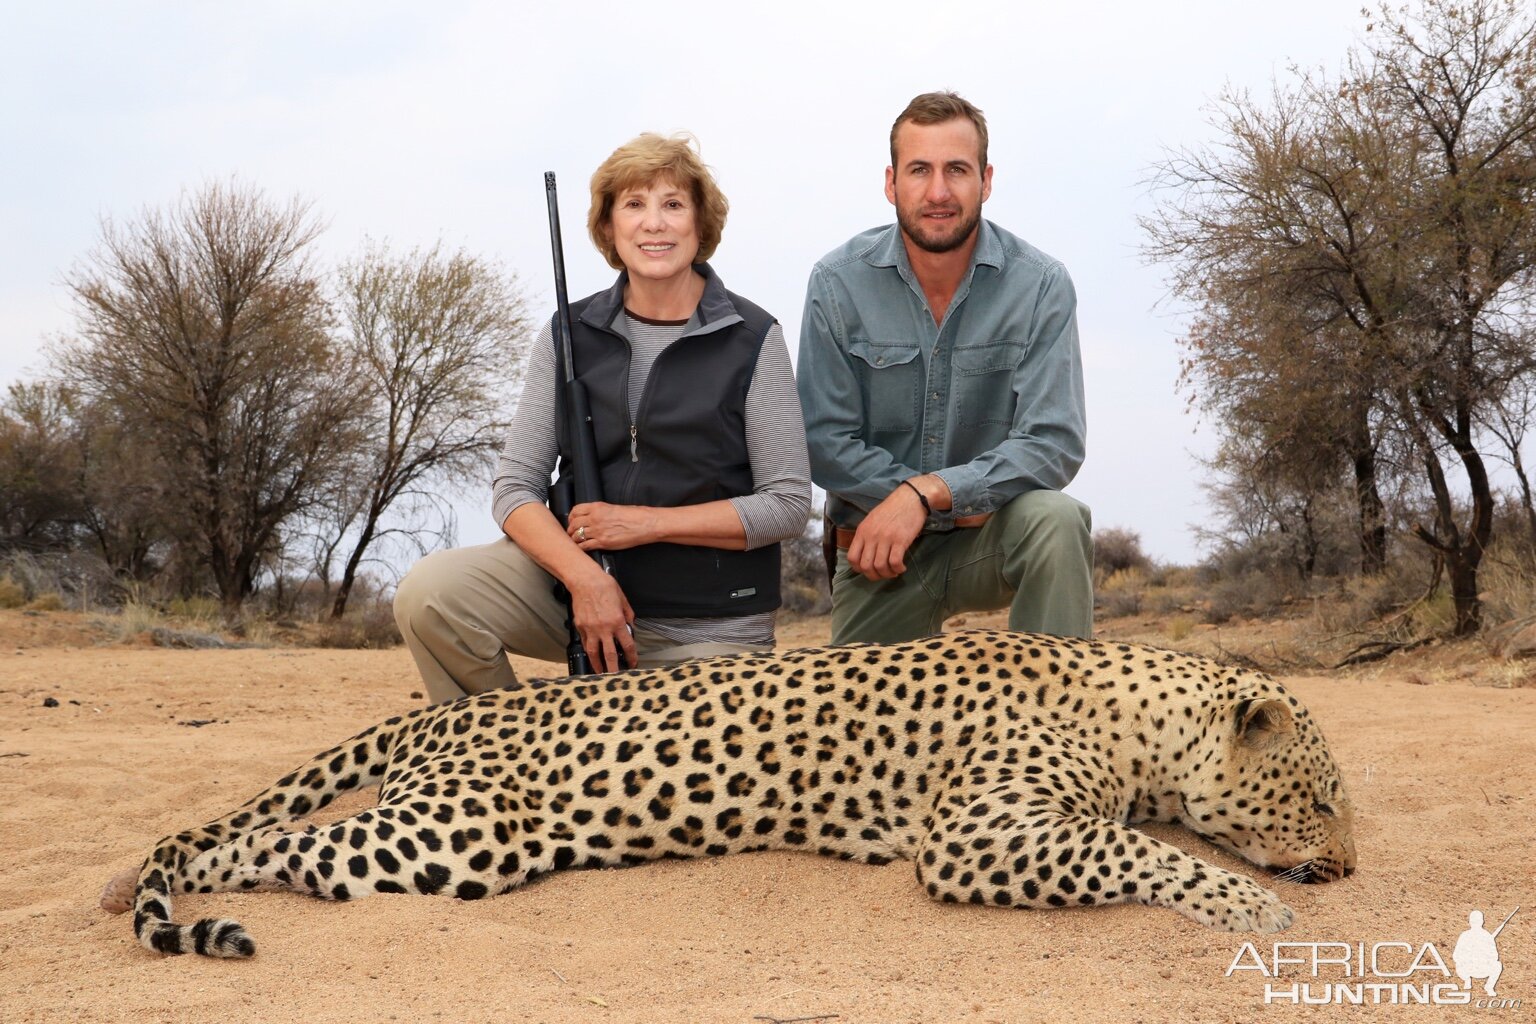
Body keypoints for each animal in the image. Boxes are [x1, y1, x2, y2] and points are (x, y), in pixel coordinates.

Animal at [122, 629, 1357, 957]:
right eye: (1323, 800)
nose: (1348, 867)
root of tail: (450, 710)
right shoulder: (977, 832)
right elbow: (1136, 851)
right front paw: (1253, 906)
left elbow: (1136, 838)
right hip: (460, 833)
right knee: (256, 844)